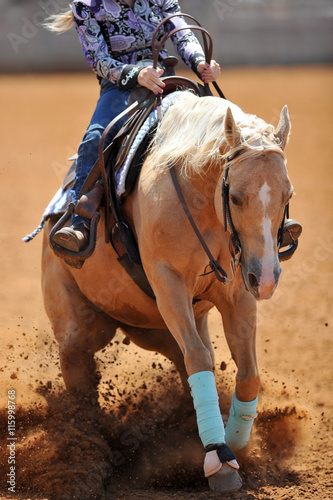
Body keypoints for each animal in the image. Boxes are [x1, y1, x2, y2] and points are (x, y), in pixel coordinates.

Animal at [42, 93, 294, 492]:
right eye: (237, 198)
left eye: (288, 194)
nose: (268, 278)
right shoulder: (169, 285)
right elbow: (200, 359)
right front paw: (218, 459)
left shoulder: (239, 292)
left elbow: (247, 373)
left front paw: (236, 442)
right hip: (76, 328)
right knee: (79, 381)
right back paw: (86, 456)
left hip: (163, 330)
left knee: (185, 358)